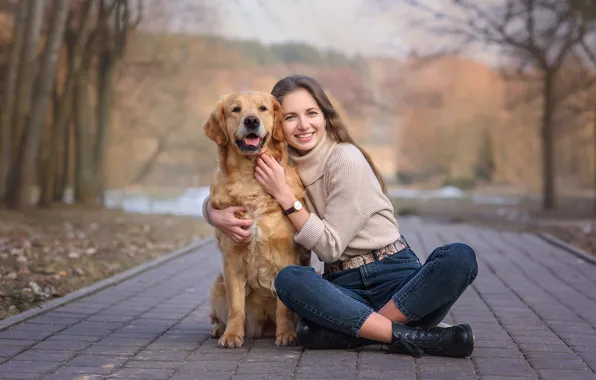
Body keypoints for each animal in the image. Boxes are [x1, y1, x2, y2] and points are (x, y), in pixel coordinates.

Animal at [203, 91, 310, 348]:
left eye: (263, 108)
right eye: (235, 109)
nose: (251, 121)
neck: (250, 180)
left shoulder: (286, 254)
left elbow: (283, 307)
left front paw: (286, 334)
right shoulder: (232, 259)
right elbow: (235, 306)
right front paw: (232, 335)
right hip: (217, 287)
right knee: (219, 313)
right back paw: (218, 329)